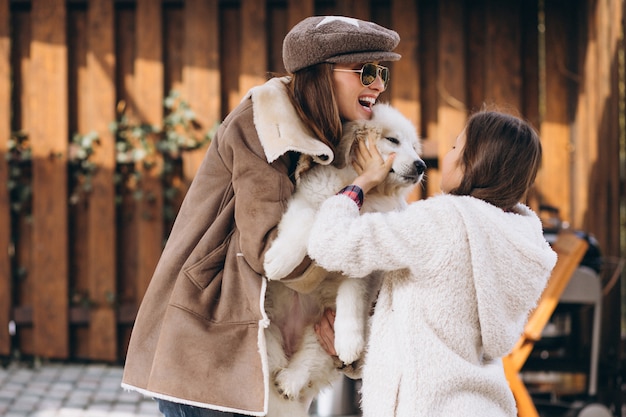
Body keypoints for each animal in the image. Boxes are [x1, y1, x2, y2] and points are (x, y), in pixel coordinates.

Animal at [258, 103, 424, 416]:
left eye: (413, 146)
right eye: (393, 141)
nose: (422, 165)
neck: (365, 191)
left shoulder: (363, 259)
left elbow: (352, 296)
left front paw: (349, 341)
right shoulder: (305, 202)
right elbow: (309, 221)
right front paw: (279, 261)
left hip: (319, 328)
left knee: (311, 355)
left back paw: (290, 380)